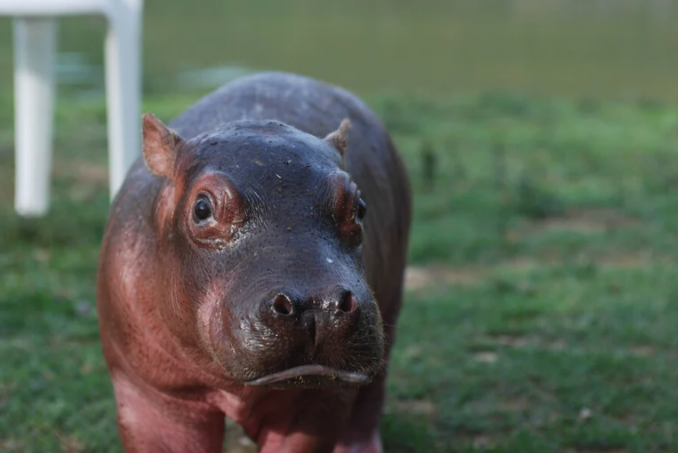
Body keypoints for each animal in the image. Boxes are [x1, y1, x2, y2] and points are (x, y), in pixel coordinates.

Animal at [95, 72, 414, 450]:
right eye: (201, 208)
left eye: (360, 207)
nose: (319, 304)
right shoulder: (153, 396)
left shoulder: (318, 398)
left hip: (390, 304)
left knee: (372, 393)